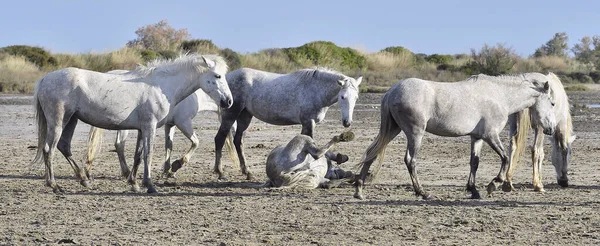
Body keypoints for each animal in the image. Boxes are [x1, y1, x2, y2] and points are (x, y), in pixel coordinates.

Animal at [85, 69, 239, 179]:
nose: (229, 102)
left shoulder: (170, 124)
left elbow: (168, 145)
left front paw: (168, 170)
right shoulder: (183, 122)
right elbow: (195, 142)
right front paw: (176, 165)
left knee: (118, 145)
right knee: (119, 144)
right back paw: (126, 172)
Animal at [213, 67, 364, 181]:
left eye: (356, 98)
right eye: (343, 97)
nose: (347, 122)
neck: (315, 89)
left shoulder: (306, 124)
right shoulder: (308, 123)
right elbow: (314, 149)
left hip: (245, 116)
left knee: (238, 141)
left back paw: (247, 172)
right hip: (231, 114)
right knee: (220, 138)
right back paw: (220, 172)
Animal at [352, 73, 556, 200]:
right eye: (552, 103)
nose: (551, 129)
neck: (500, 96)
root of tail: (391, 92)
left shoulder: (477, 138)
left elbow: (474, 163)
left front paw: (474, 191)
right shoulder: (491, 135)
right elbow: (505, 158)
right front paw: (494, 184)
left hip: (392, 130)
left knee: (371, 153)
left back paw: (359, 190)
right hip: (415, 133)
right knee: (410, 160)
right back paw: (422, 193)